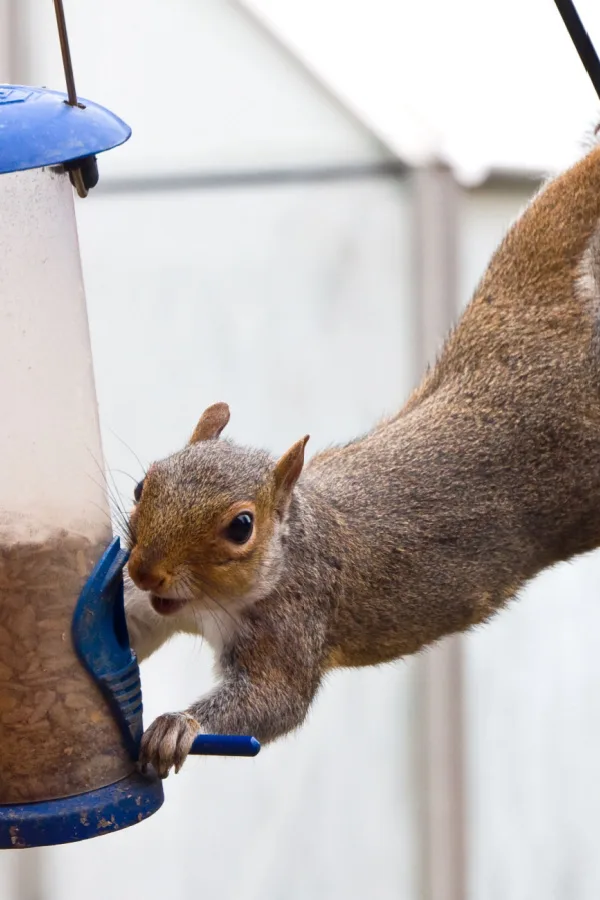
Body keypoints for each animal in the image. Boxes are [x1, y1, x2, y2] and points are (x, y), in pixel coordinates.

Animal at [126, 143, 600, 778]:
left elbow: (273, 699)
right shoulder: (155, 607)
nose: (143, 570)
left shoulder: (294, 623)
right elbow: (127, 625)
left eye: (241, 527)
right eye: (141, 487)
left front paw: (179, 726)